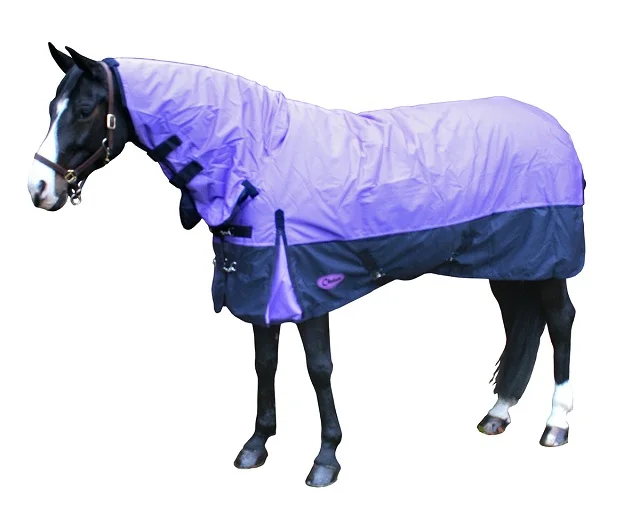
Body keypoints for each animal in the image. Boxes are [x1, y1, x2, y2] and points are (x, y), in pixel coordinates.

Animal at [28, 43, 585, 487]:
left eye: (83, 109)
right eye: (52, 106)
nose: (38, 189)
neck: (254, 157)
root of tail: (556, 129)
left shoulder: (308, 285)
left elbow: (319, 369)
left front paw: (326, 459)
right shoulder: (259, 287)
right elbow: (265, 364)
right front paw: (256, 445)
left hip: (549, 264)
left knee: (559, 321)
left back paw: (555, 425)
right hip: (511, 266)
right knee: (521, 324)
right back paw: (498, 412)